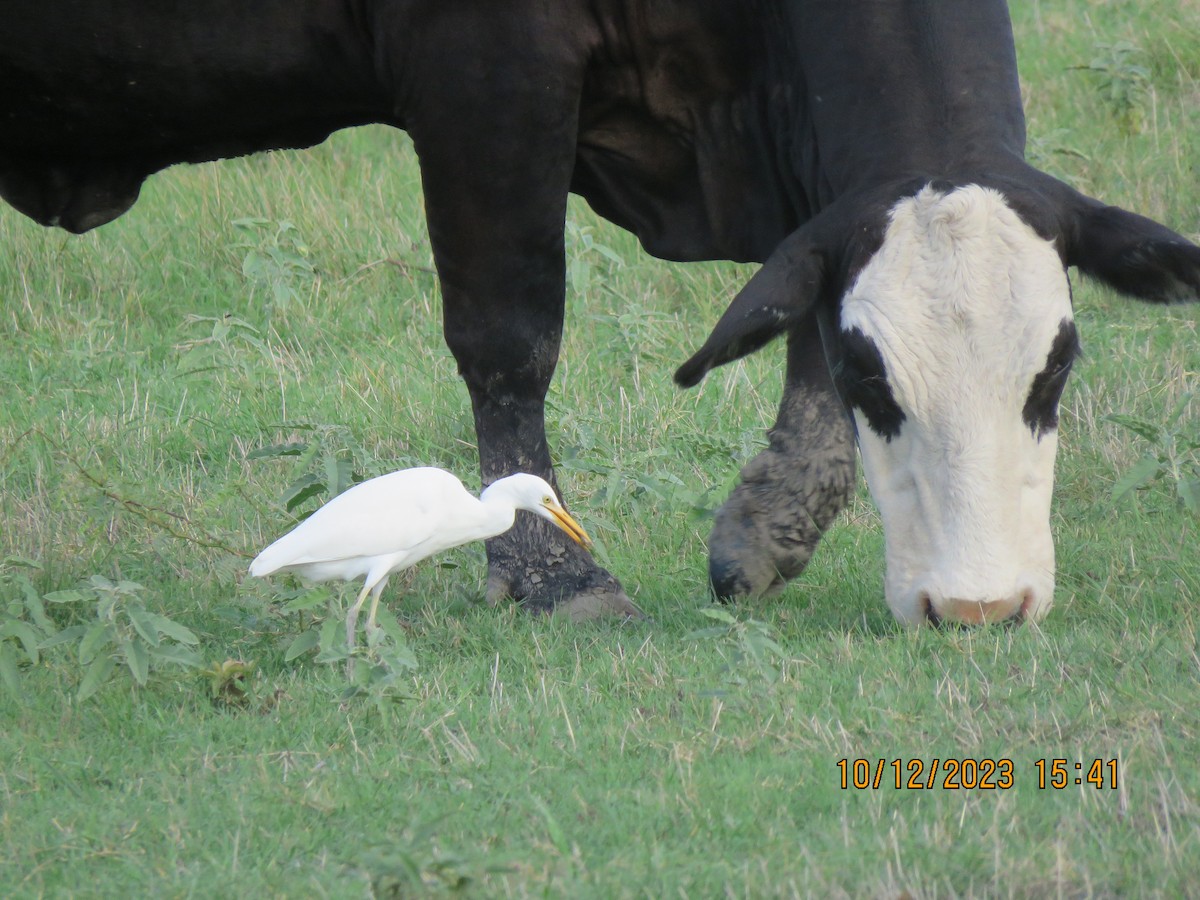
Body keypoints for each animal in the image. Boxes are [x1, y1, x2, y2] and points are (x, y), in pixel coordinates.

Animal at [2, 0, 1200, 628]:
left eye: (1058, 367)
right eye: (877, 381)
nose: (980, 607)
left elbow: (793, 301)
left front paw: (768, 519)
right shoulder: (485, 71)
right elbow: (508, 336)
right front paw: (555, 573)